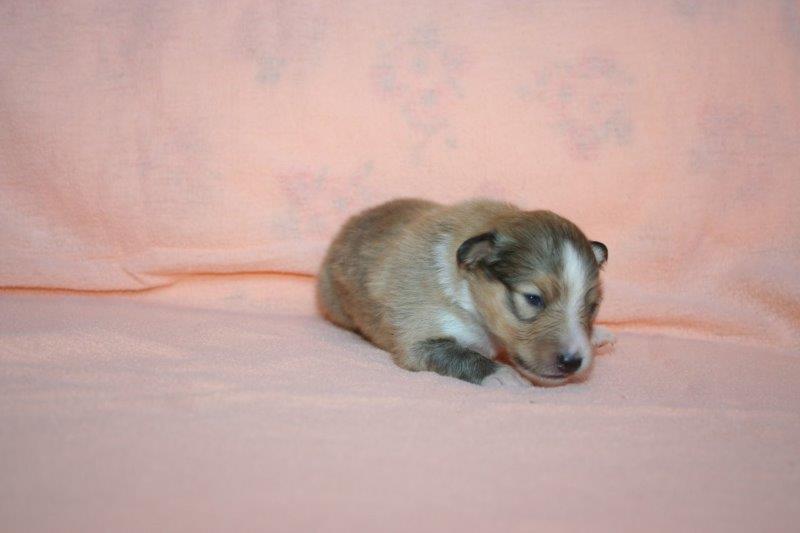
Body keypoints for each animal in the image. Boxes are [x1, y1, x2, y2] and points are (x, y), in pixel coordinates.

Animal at [316, 198, 613, 388]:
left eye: (593, 307)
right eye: (533, 299)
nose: (573, 362)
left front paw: (598, 335)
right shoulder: (418, 336)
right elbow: (460, 354)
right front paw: (505, 375)